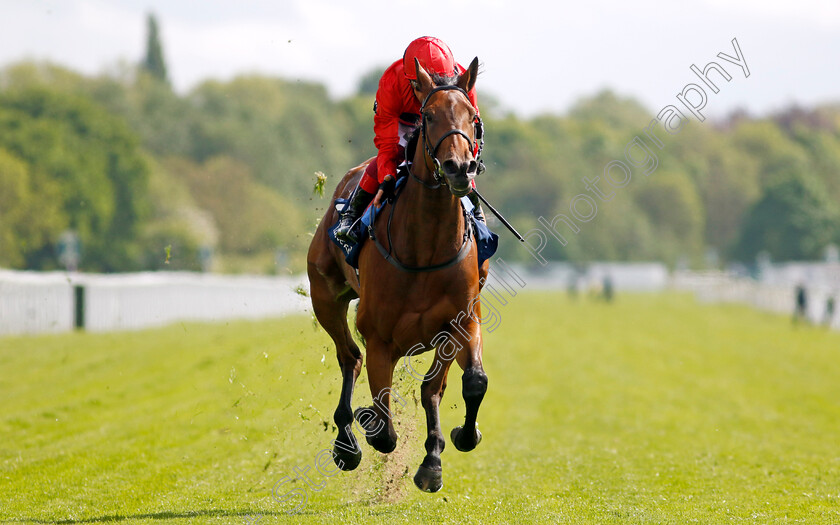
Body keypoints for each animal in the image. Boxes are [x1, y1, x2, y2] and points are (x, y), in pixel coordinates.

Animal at [306, 57, 488, 492]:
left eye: (472, 117)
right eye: (429, 115)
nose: (460, 168)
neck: (426, 248)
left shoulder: (462, 322)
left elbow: (466, 382)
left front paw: (449, 446)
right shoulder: (379, 336)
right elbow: (383, 425)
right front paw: (365, 425)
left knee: (430, 387)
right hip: (325, 298)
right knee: (349, 357)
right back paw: (347, 442)